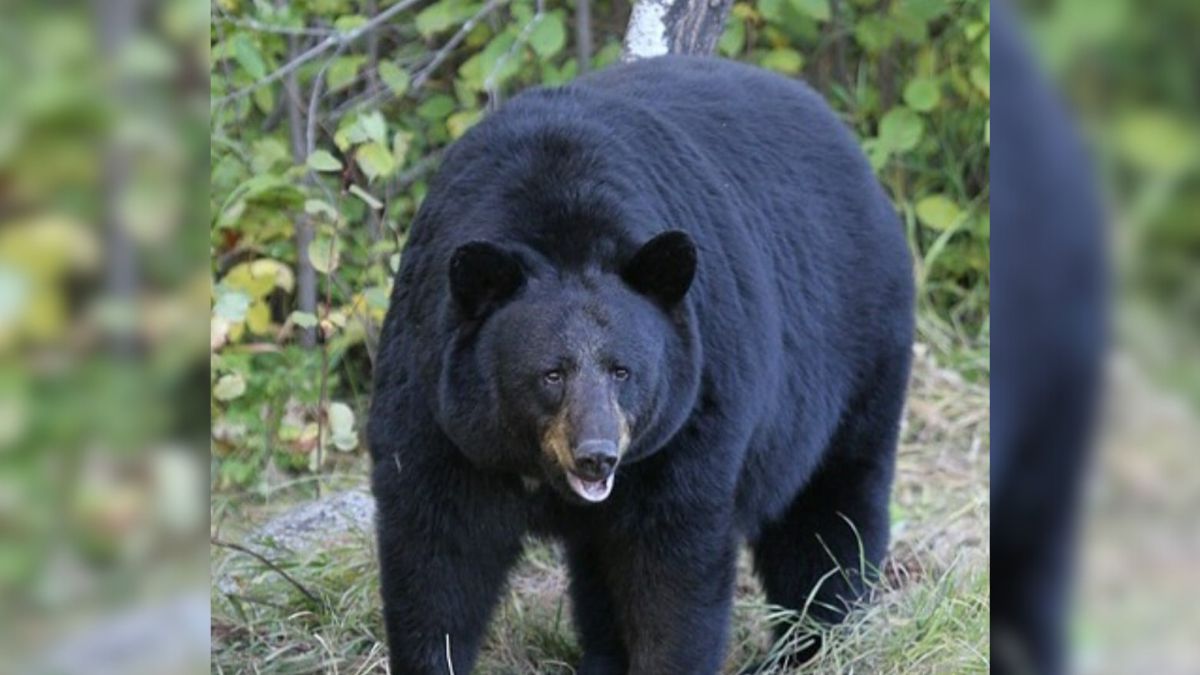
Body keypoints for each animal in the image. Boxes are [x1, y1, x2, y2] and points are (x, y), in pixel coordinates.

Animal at [368, 55, 914, 674]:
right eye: (551, 373)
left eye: (622, 371)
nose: (597, 455)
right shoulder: (437, 407)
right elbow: (436, 555)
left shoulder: (692, 414)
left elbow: (673, 569)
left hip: (856, 355)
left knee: (828, 513)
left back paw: (816, 643)